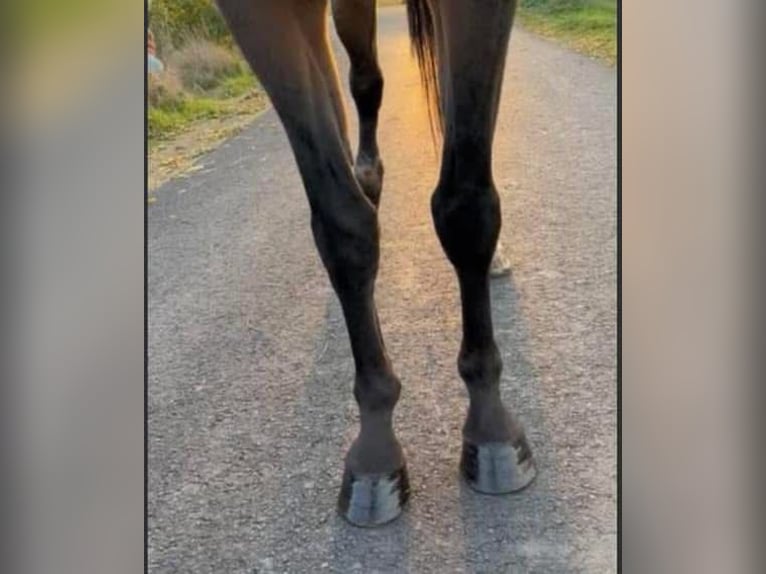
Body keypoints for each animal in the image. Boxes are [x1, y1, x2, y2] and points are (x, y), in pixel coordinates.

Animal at [213, 0, 536, 528]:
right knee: (357, 83)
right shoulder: (258, 14)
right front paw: (375, 451)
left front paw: (492, 429)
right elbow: (342, 227)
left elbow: (466, 206)